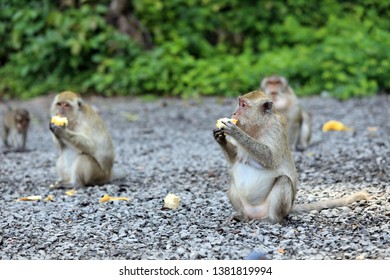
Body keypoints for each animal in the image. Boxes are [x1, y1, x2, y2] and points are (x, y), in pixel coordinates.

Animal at [213, 91, 368, 224]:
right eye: (239, 103)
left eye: (243, 105)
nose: (234, 112)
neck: (258, 126)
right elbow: (235, 159)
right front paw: (220, 138)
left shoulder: (275, 129)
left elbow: (270, 158)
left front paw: (234, 131)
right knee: (232, 181)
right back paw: (242, 216)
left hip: (280, 208)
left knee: (283, 181)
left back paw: (272, 219)